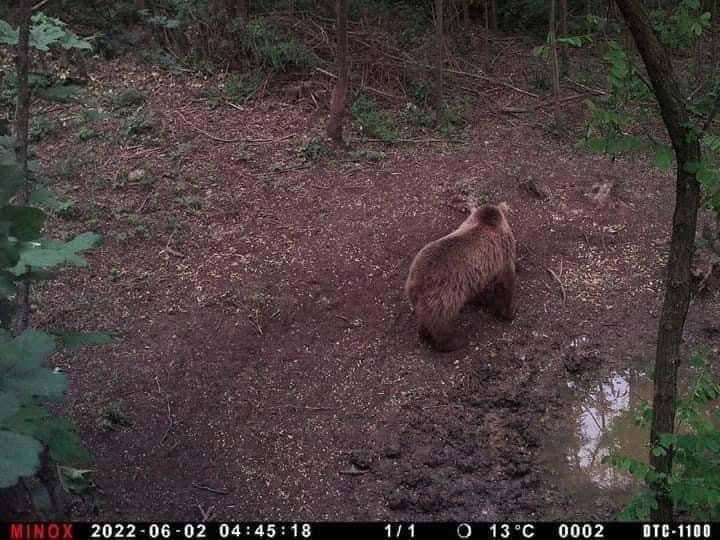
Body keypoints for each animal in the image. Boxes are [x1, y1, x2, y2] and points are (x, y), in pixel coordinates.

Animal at [404, 201, 516, 350]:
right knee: (440, 321)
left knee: (424, 318)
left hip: (423, 299)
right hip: (443, 295)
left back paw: (424, 335)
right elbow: (505, 282)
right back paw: (453, 343)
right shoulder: (502, 254)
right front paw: (509, 312)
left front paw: (482, 299)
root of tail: (414, 282)